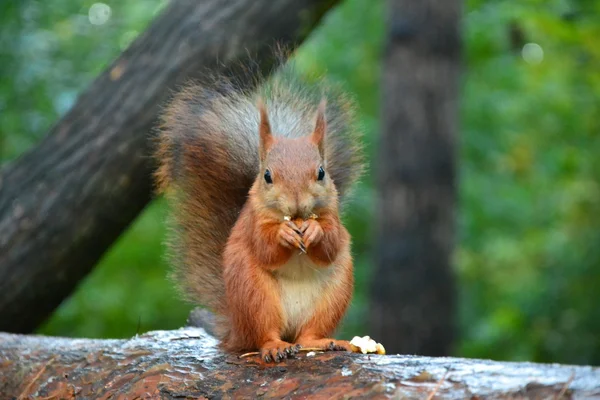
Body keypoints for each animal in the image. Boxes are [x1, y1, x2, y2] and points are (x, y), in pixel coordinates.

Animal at [152, 60, 364, 362]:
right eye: (267, 176)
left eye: (322, 172)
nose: (296, 203)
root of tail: (236, 330)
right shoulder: (251, 223)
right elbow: (265, 248)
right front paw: (284, 234)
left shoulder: (334, 219)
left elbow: (333, 244)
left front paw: (314, 230)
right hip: (254, 295)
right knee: (264, 335)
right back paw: (275, 346)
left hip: (334, 294)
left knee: (308, 335)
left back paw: (323, 341)